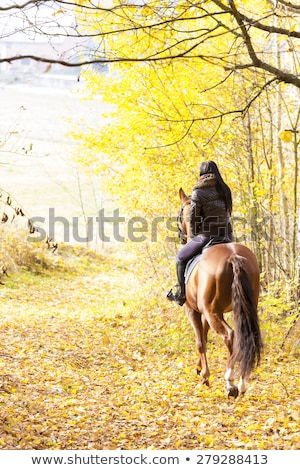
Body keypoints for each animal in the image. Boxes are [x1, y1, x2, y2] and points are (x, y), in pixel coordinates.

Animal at [177, 187, 262, 396]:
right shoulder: (207, 312)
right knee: (245, 337)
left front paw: (205, 376)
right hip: (243, 308)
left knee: (230, 336)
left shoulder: (193, 310)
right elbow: (205, 337)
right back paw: (242, 382)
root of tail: (234, 256)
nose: (181, 236)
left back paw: (231, 382)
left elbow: (200, 341)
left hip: (212, 312)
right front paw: (200, 369)